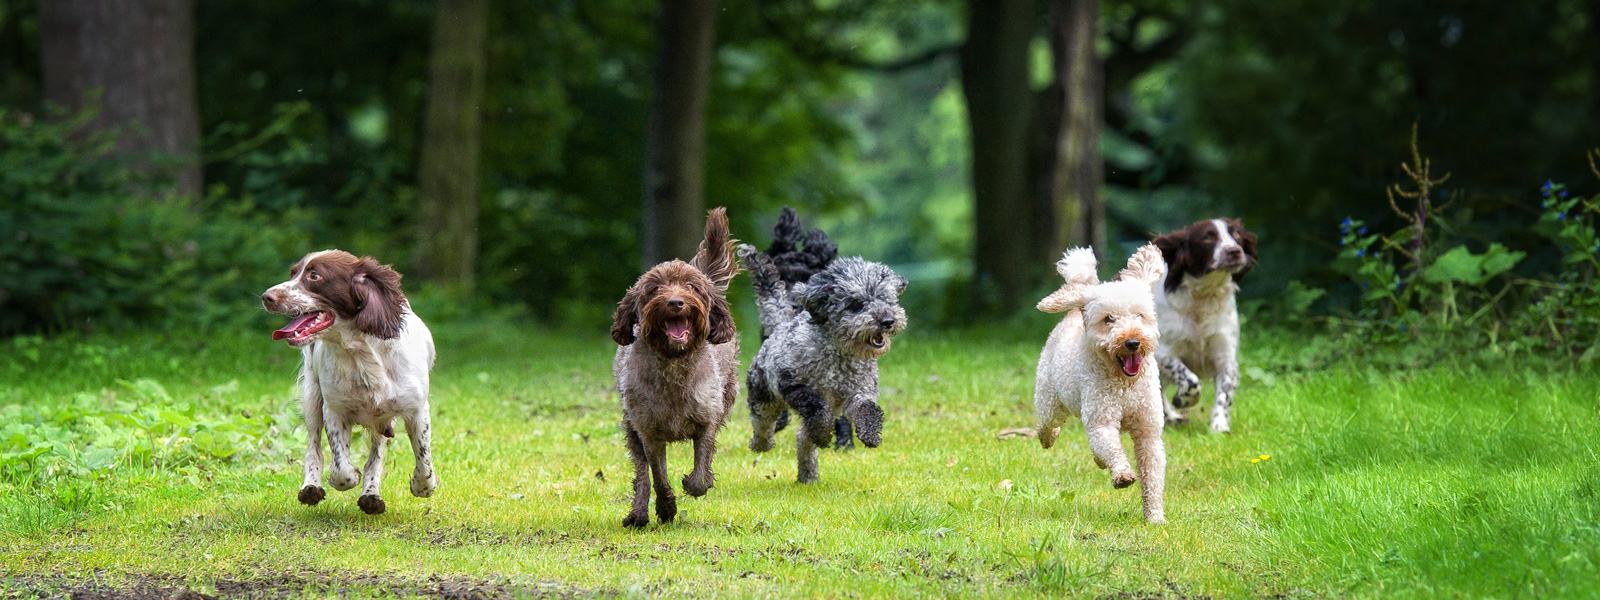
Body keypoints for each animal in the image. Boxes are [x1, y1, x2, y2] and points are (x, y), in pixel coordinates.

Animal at [262, 249, 438, 518]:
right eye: (292, 274)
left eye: (314, 276)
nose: (266, 297)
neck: (360, 352)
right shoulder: (334, 410)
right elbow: (341, 469)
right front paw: (349, 477)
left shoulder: (417, 410)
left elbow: (424, 462)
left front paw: (421, 487)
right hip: (312, 397)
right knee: (313, 448)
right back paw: (311, 488)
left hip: (382, 418)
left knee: (376, 456)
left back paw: (371, 496)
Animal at [608, 209, 739, 528]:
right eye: (655, 289)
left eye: (691, 286)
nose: (676, 302)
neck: (673, 363)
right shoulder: (648, 432)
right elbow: (657, 475)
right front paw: (666, 508)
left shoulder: (708, 419)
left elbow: (701, 470)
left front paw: (694, 484)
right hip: (631, 427)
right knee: (642, 476)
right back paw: (639, 514)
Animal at [732, 211, 902, 483]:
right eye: (856, 304)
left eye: (886, 299)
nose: (887, 321)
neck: (840, 355)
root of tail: (779, 325)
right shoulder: (791, 383)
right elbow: (816, 408)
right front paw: (823, 434)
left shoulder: (859, 392)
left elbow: (866, 409)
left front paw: (870, 434)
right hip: (763, 394)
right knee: (764, 423)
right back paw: (762, 444)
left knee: (802, 438)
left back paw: (808, 475)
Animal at [1030, 244, 1171, 524]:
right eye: (1109, 319)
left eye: (1140, 315)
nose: (1132, 342)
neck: (1125, 385)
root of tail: (1075, 309)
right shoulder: (1101, 421)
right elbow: (1112, 447)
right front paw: (1123, 475)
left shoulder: (1148, 430)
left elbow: (1152, 474)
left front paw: (1155, 517)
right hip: (1051, 399)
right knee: (1048, 421)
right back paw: (1046, 436)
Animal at [1152, 219, 1260, 435]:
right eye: (1207, 237)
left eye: (1236, 234)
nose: (1234, 251)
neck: (1204, 297)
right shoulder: (1163, 352)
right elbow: (1190, 379)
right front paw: (1183, 400)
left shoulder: (1226, 357)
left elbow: (1225, 393)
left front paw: (1219, 426)